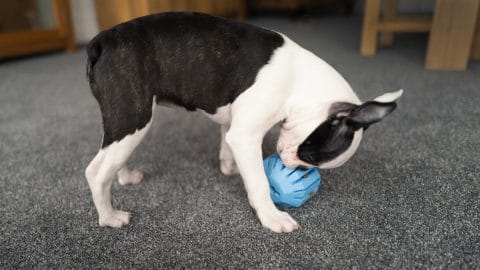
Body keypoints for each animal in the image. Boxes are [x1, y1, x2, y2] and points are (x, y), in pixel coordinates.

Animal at [83, 12, 402, 232]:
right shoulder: (246, 136)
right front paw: (272, 216)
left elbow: (227, 145)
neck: (300, 82)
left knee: (111, 154)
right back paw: (110, 217)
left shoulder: (235, 127)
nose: (295, 168)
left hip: (124, 121)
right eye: (309, 157)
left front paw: (231, 168)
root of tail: (101, 41)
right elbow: (259, 183)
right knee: (96, 172)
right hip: (134, 116)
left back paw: (125, 176)